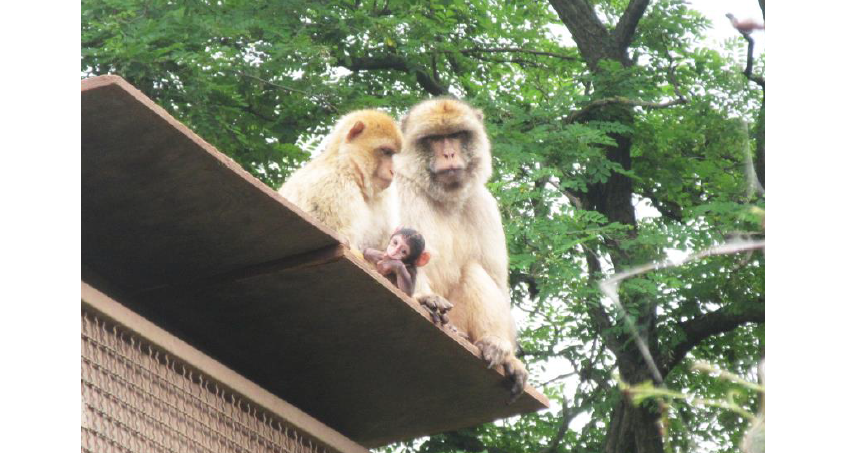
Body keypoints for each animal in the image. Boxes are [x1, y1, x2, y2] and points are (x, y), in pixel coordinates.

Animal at [394, 98, 528, 396]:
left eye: (455, 135)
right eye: (434, 139)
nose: (449, 154)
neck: (444, 197)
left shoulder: (484, 205)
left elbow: (496, 282)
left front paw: (510, 357)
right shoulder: (399, 189)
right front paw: (424, 298)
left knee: (475, 271)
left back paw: (492, 343)